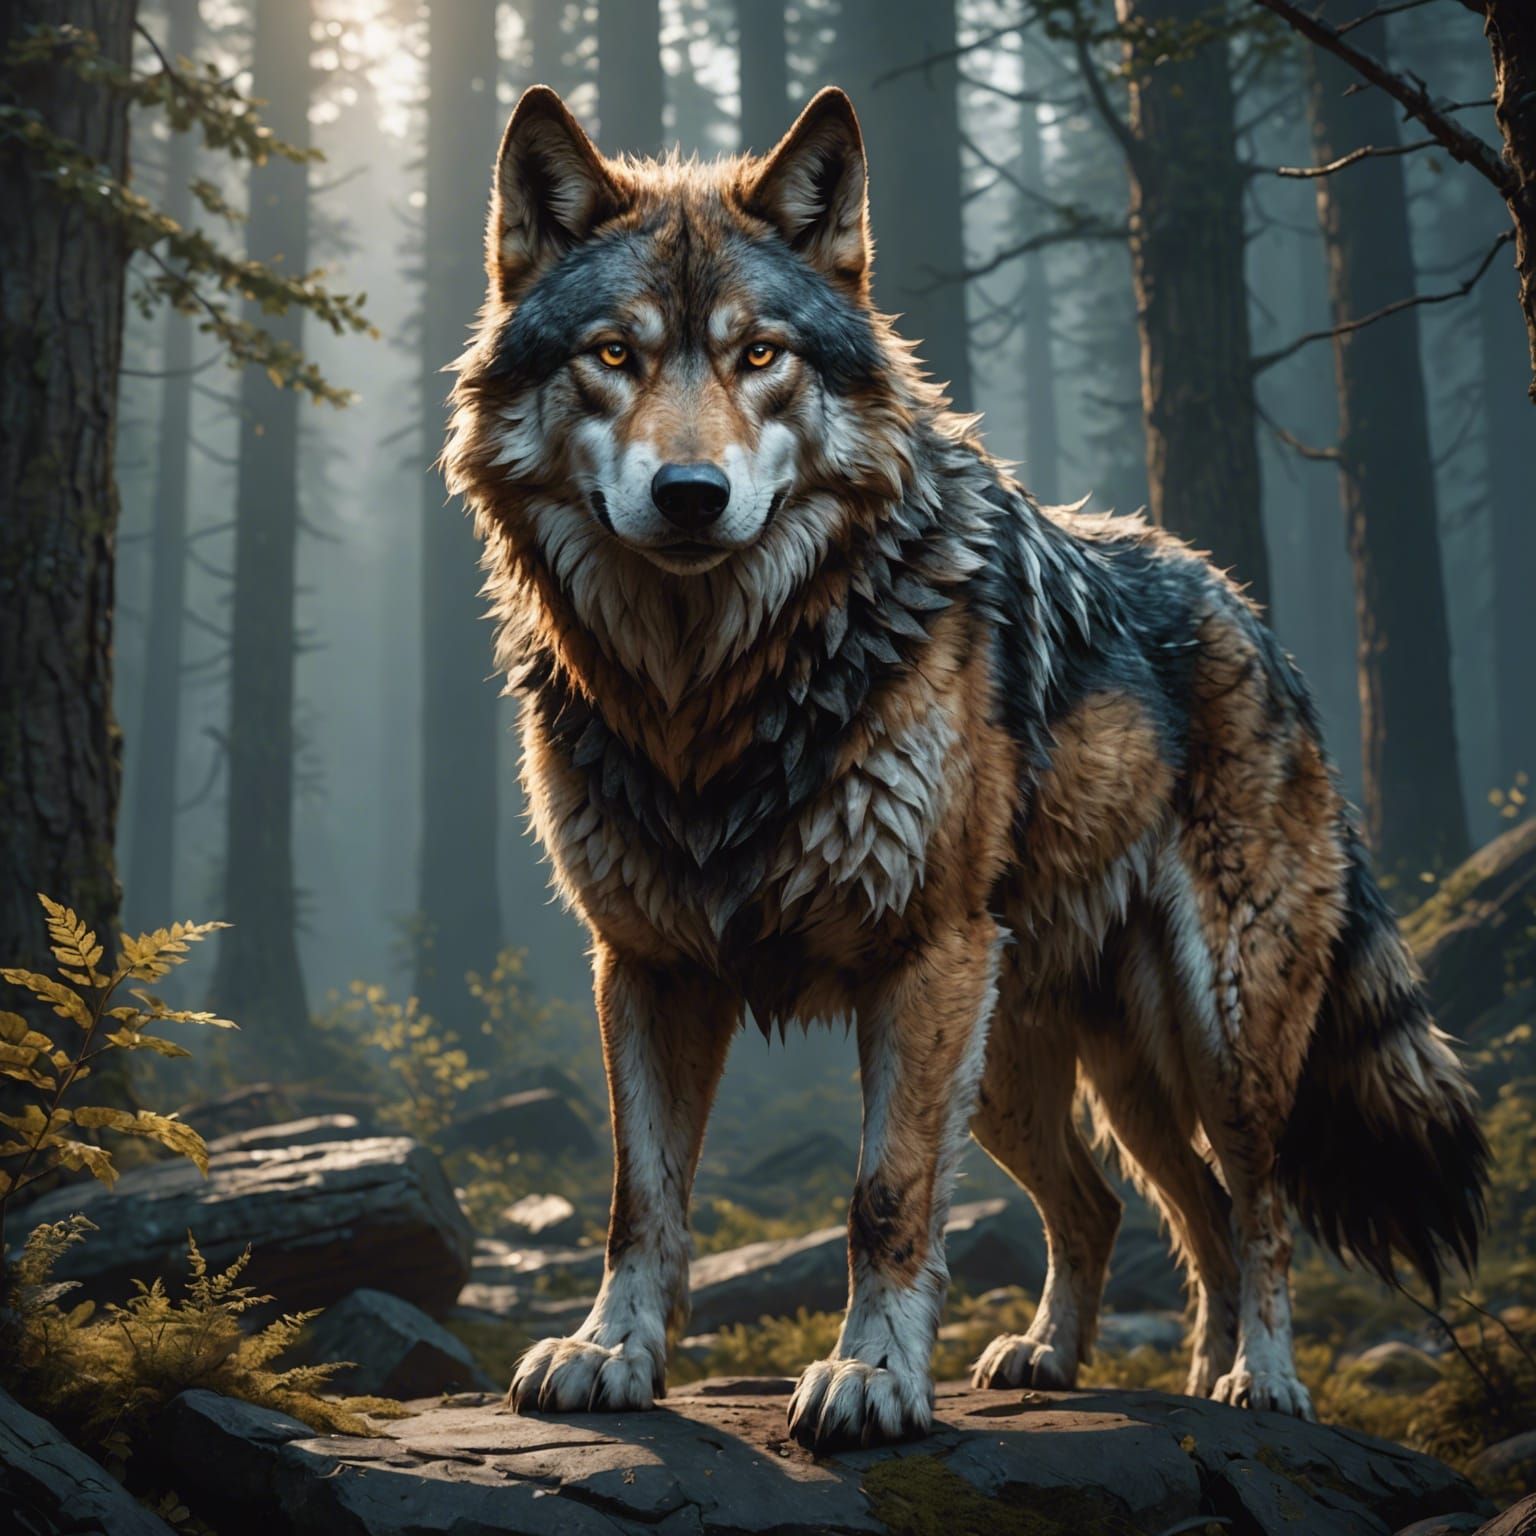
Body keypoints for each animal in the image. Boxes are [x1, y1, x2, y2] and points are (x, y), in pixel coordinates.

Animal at [443, 84, 1487, 1453]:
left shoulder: (922, 955)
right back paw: (1071, 1362)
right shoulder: (649, 965)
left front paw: (874, 1380)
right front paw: (609, 1354)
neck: (711, 692)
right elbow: (641, 1199)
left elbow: (883, 1201)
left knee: (1256, 1211)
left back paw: (1257, 1384)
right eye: (614, 356)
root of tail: (1253, 617)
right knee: (1132, 1206)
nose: (690, 494)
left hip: (1210, 1030)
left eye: (760, 355)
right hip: (1024, 1069)